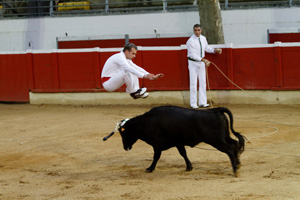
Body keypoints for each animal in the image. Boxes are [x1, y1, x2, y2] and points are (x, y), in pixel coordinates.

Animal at [104, 105, 245, 176]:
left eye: (124, 133)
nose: (125, 147)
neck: (146, 122)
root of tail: (216, 110)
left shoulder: (157, 145)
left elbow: (156, 157)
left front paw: (150, 168)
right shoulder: (178, 143)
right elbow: (183, 153)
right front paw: (189, 167)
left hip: (216, 140)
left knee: (230, 149)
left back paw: (235, 170)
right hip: (224, 137)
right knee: (235, 144)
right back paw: (238, 163)